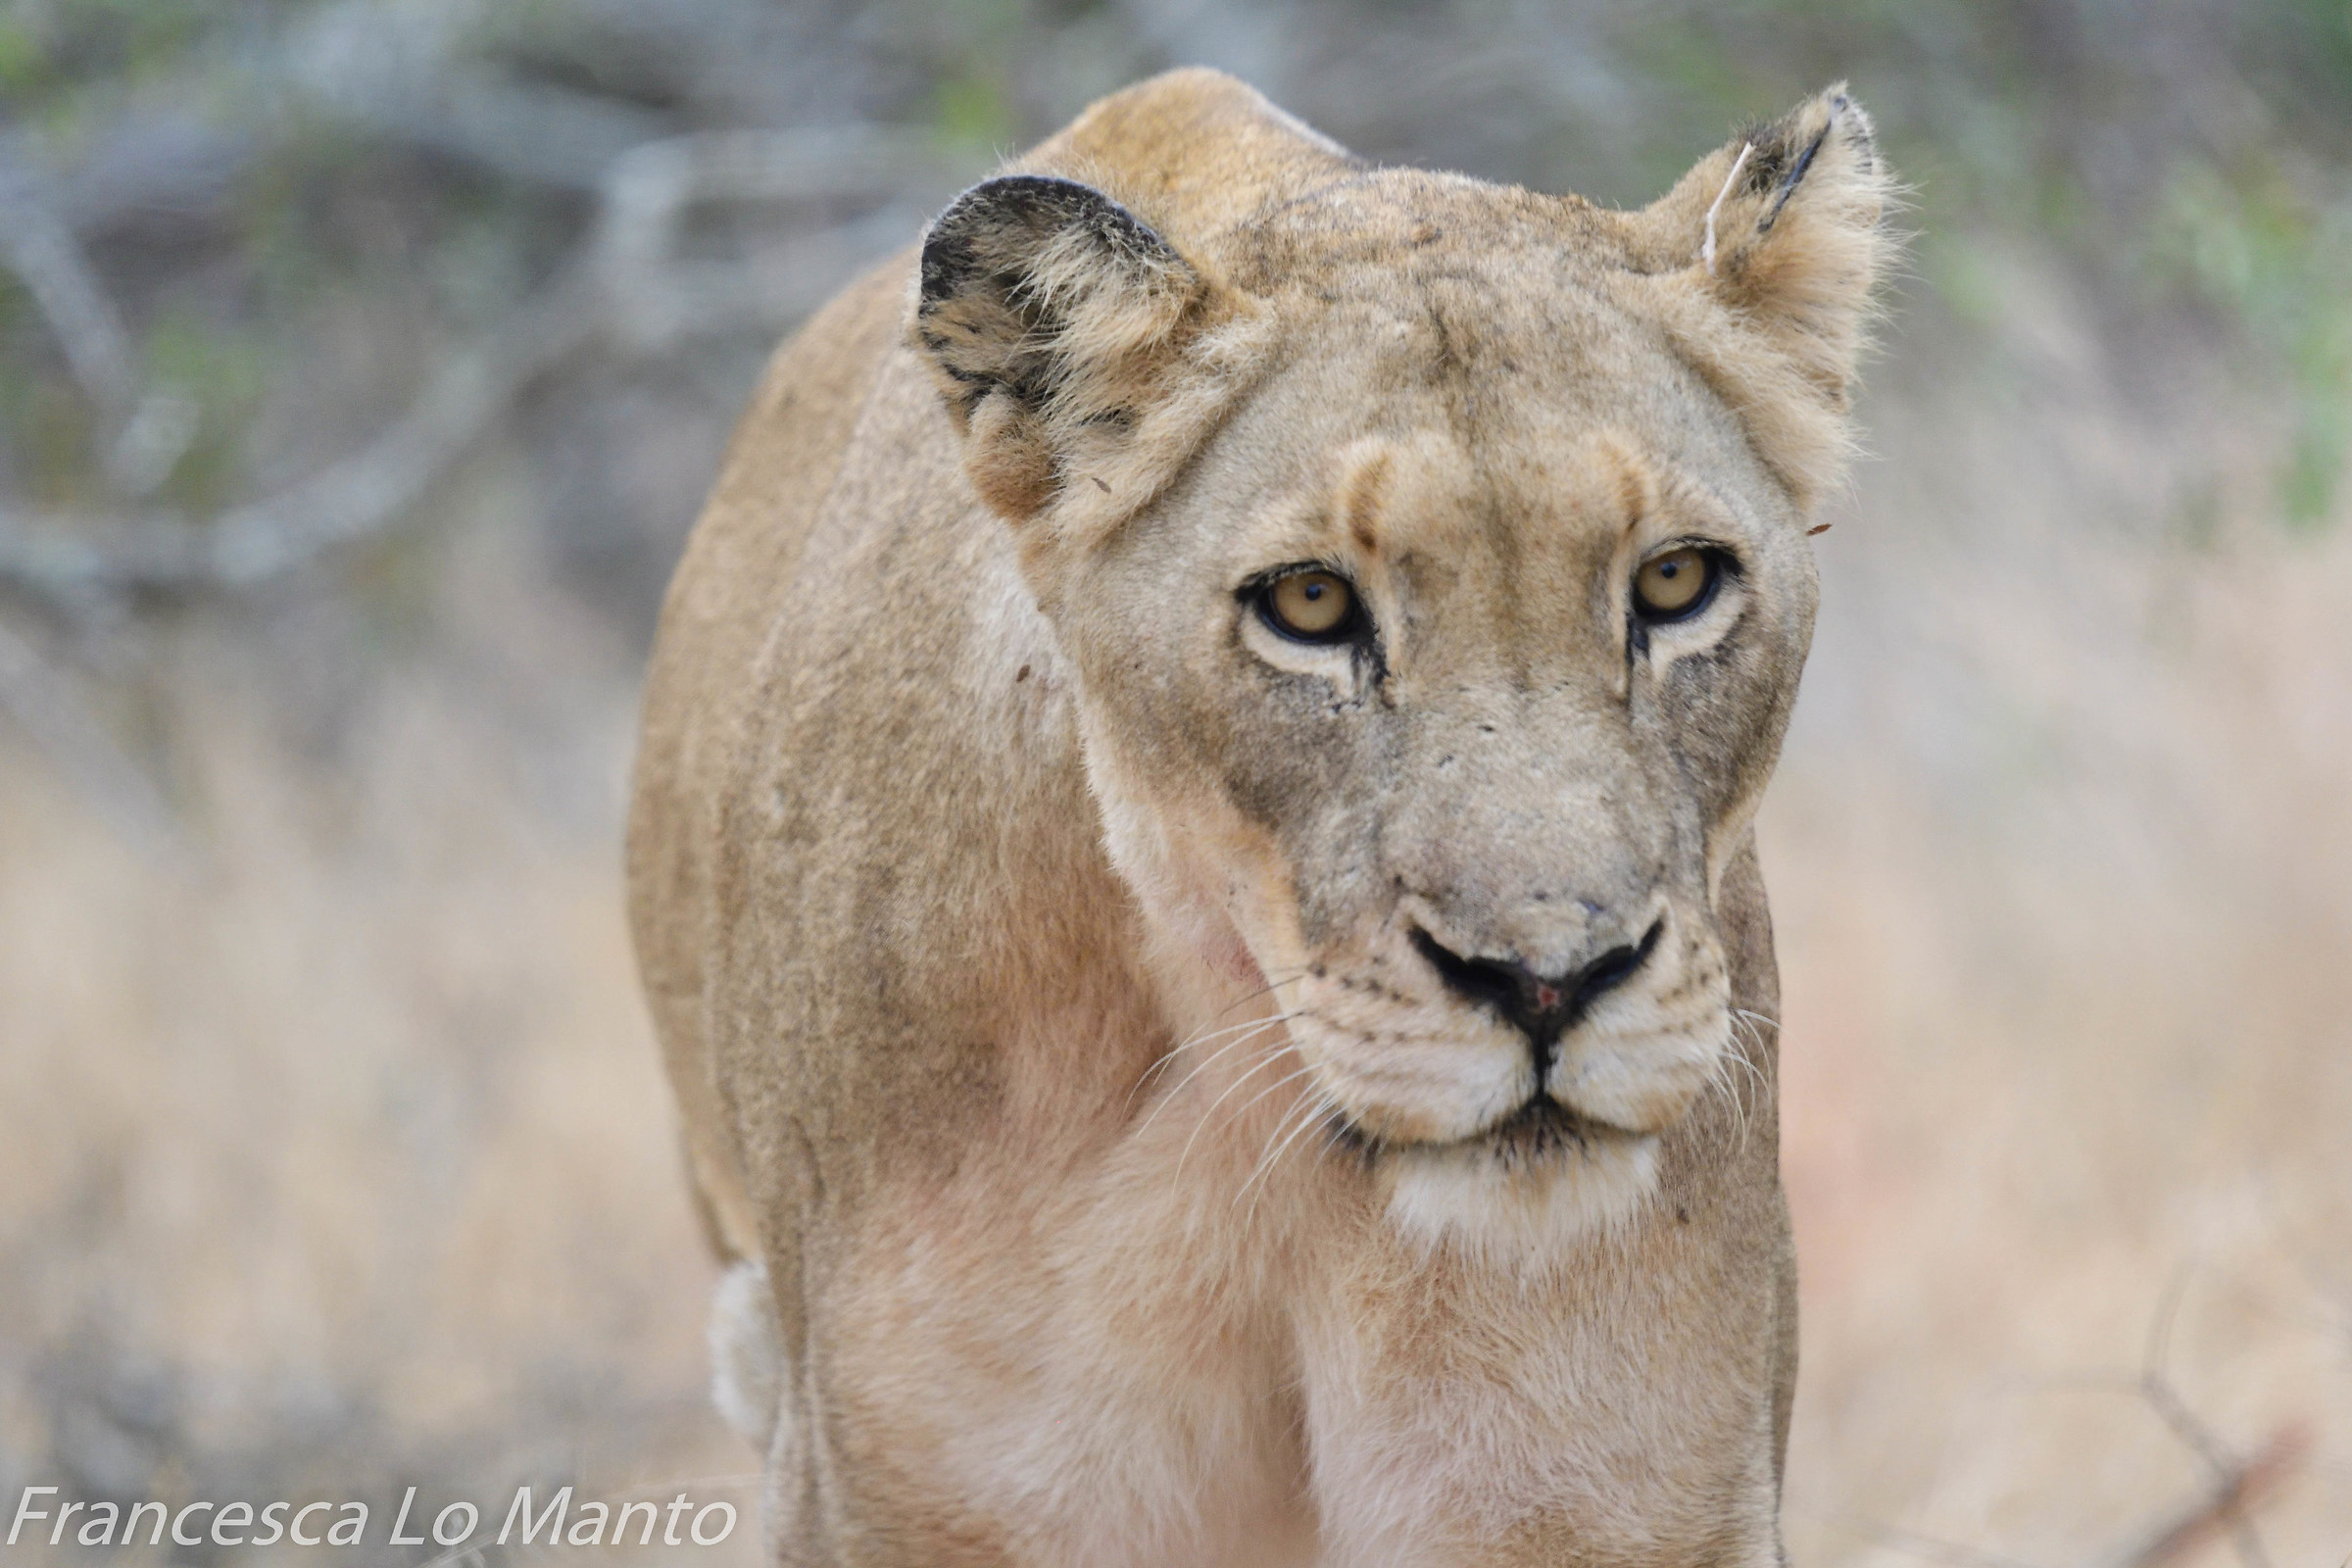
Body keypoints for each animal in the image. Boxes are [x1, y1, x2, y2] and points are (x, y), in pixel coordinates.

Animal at [627, 68, 1891, 1566]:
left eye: (1677, 581)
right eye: (1309, 605)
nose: (1548, 984)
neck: (1255, 1126)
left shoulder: (1613, 1500)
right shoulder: (900, 1498)